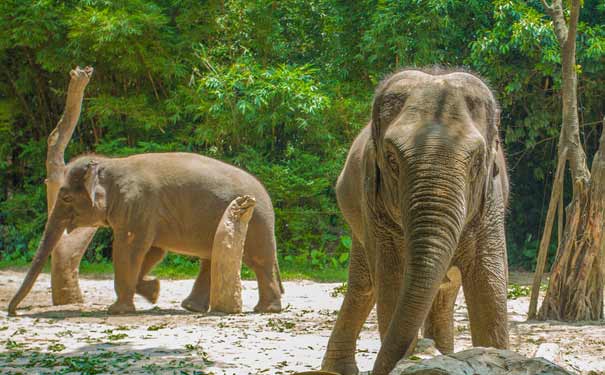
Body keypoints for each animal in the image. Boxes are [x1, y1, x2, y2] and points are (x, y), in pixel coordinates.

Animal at [8, 151, 284, 316]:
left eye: (65, 197)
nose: (12, 312)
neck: (110, 163)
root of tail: (266, 195)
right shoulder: (143, 213)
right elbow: (152, 251)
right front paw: (153, 291)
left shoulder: (136, 205)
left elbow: (128, 248)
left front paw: (117, 311)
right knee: (212, 260)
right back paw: (191, 307)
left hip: (255, 223)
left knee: (259, 261)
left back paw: (266, 310)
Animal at [320, 68, 510, 375]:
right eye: (391, 159)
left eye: (477, 161)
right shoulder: (374, 207)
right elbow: (392, 283)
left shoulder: (490, 203)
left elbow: (489, 286)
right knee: (364, 286)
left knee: (443, 293)